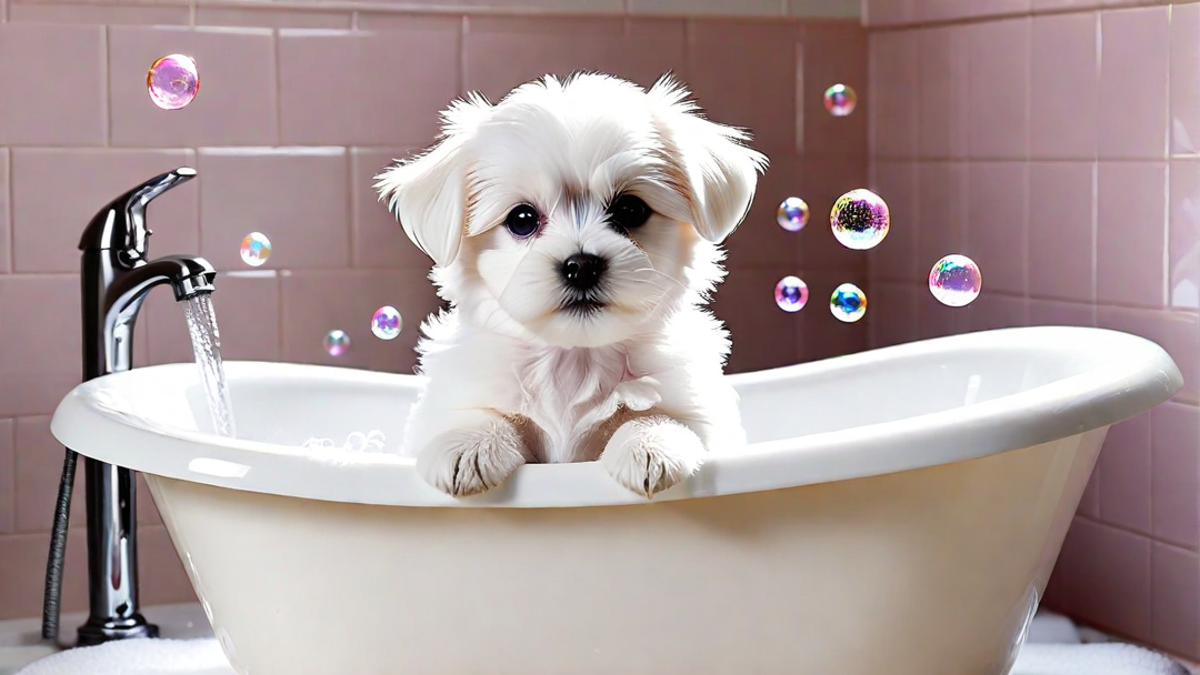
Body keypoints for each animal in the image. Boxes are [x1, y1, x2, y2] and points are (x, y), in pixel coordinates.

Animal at [376, 73, 768, 497]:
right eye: (522, 219)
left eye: (631, 209)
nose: (581, 266)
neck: (575, 358)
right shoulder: (455, 398)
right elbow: (477, 413)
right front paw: (467, 444)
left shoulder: (699, 406)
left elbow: (664, 415)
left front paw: (650, 441)